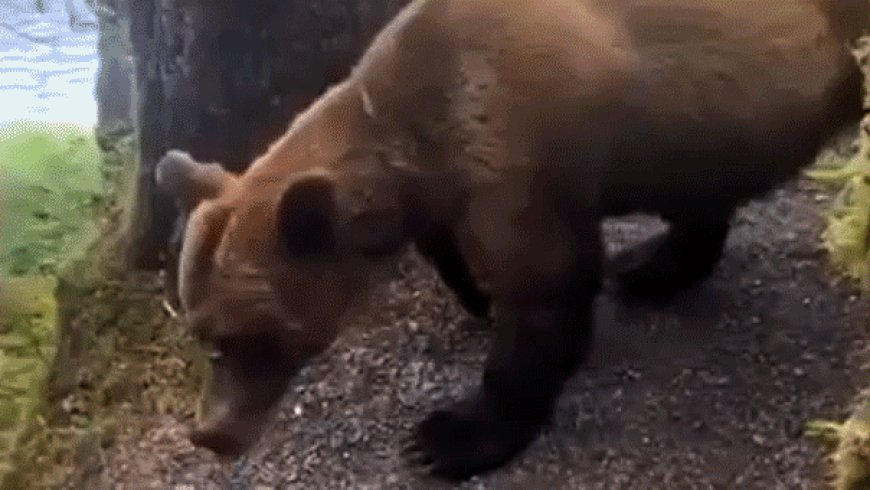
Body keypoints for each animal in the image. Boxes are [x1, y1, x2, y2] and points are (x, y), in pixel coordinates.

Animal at [154, 0, 868, 481]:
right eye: (198, 328)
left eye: (240, 339)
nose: (210, 434)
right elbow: (456, 253)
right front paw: (477, 293)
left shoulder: (519, 156)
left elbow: (543, 300)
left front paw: (446, 437)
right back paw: (650, 267)